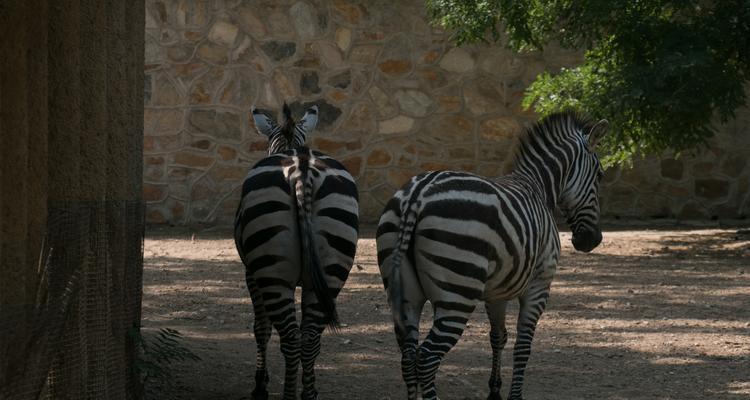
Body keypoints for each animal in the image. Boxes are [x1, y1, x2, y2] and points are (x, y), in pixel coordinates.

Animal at [236, 104, 362, 400]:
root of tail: (302, 168)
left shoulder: (251, 274)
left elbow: (261, 328)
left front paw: (260, 384)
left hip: (273, 274)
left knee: (291, 339)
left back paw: (288, 394)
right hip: (331, 269)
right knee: (310, 337)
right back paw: (309, 393)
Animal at [376, 111, 612, 400]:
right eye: (600, 175)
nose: (592, 240)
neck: (539, 187)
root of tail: (417, 194)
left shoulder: (496, 292)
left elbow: (498, 336)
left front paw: (494, 390)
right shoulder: (539, 285)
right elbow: (523, 346)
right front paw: (514, 396)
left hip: (405, 294)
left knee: (408, 357)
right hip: (457, 294)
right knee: (427, 358)